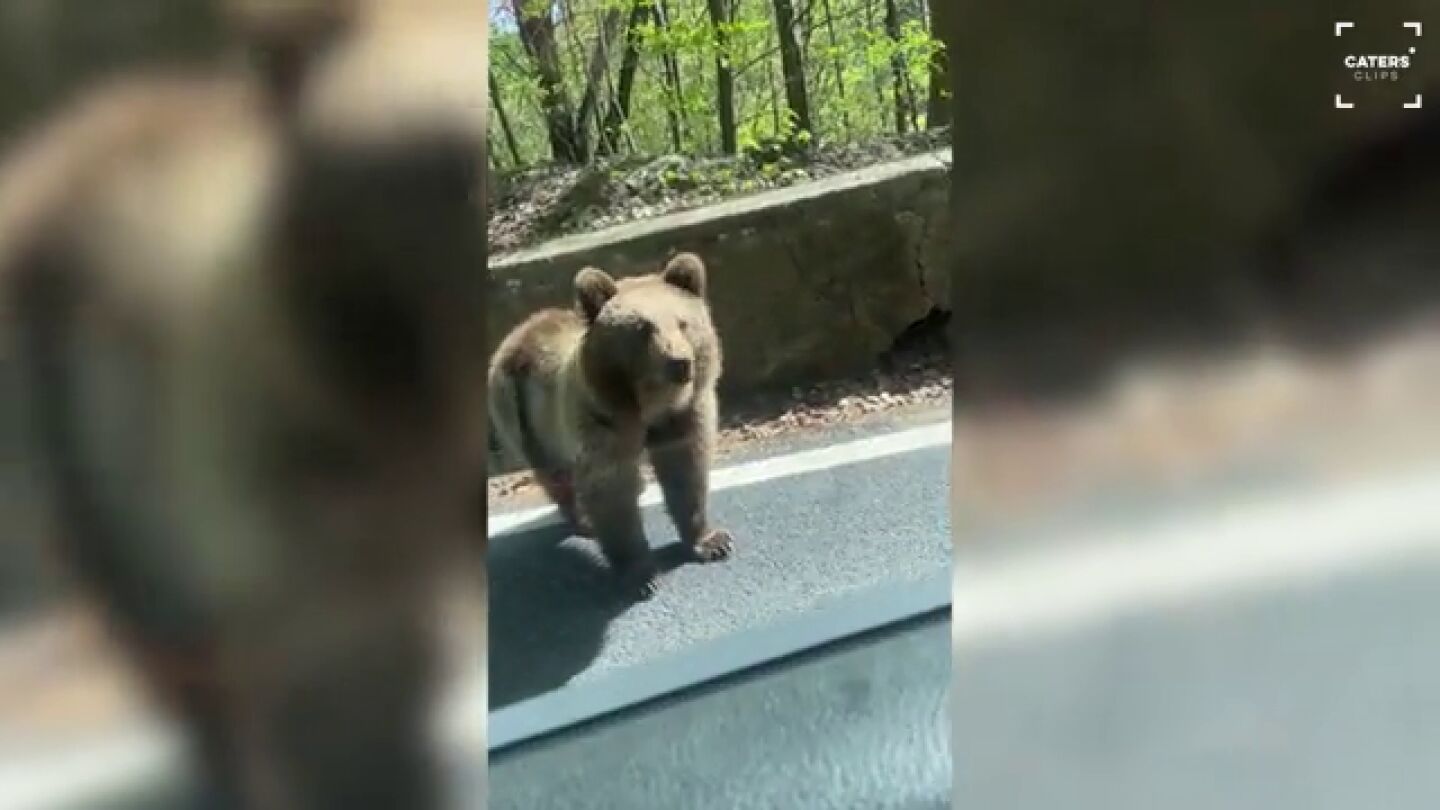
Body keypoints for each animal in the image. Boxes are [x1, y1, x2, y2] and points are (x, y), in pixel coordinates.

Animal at [489, 252, 735, 598]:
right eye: (643, 328)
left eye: (683, 322)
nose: (679, 363)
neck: (650, 405)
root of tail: (519, 330)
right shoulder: (602, 421)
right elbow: (612, 490)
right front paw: (641, 574)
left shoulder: (683, 415)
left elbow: (685, 471)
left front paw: (711, 541)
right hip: (524, 415)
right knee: (556, 474)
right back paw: (584, 521)